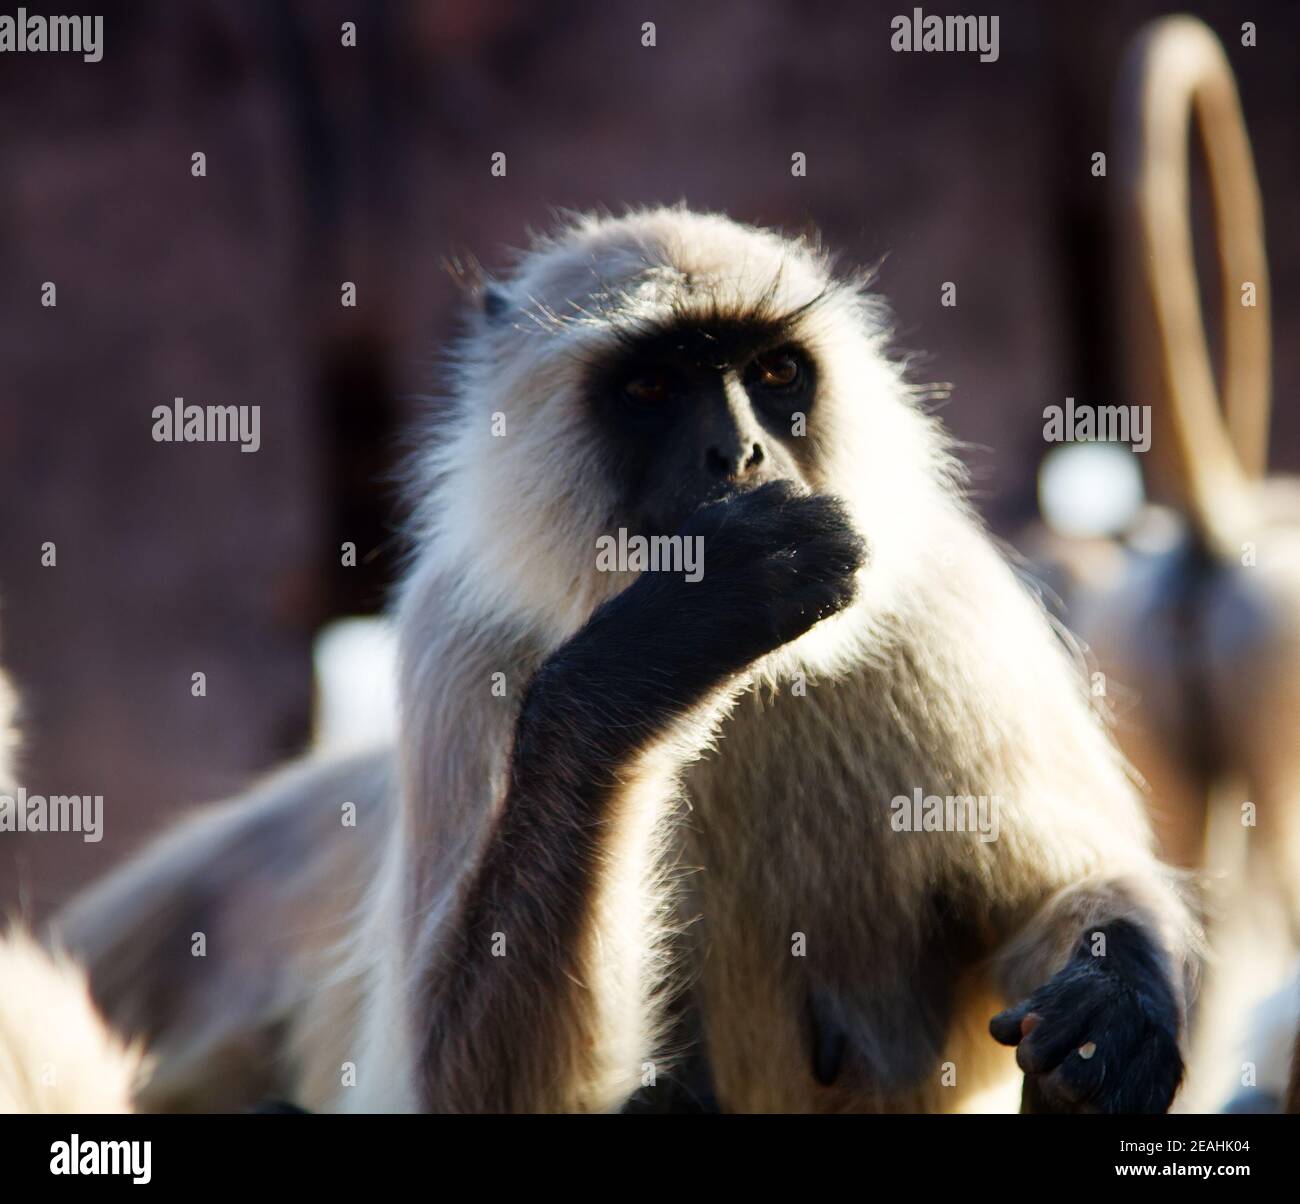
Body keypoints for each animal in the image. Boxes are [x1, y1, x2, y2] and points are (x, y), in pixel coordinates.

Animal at [58, 205, 1196, 1112]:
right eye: (651, 387)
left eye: (773, 374)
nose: (739, 453)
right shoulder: (453, 636)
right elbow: (469, 1087)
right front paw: (679, 626)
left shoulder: (939, 601)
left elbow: (1062, 888)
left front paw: (1112, 1005)